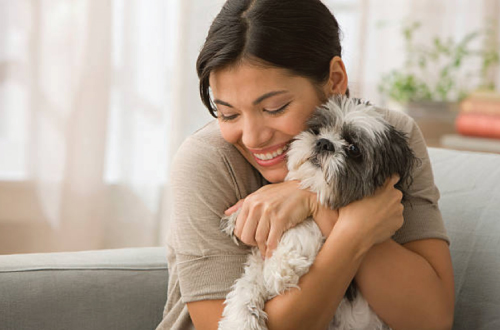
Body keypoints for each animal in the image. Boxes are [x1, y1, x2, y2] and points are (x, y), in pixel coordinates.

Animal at [219, 95, 418, 330]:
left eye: (354, 149)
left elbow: (306, 227)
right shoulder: (257, 262)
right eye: (317, 129)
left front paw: (280, 267)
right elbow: (245, 288)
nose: (324, 143)